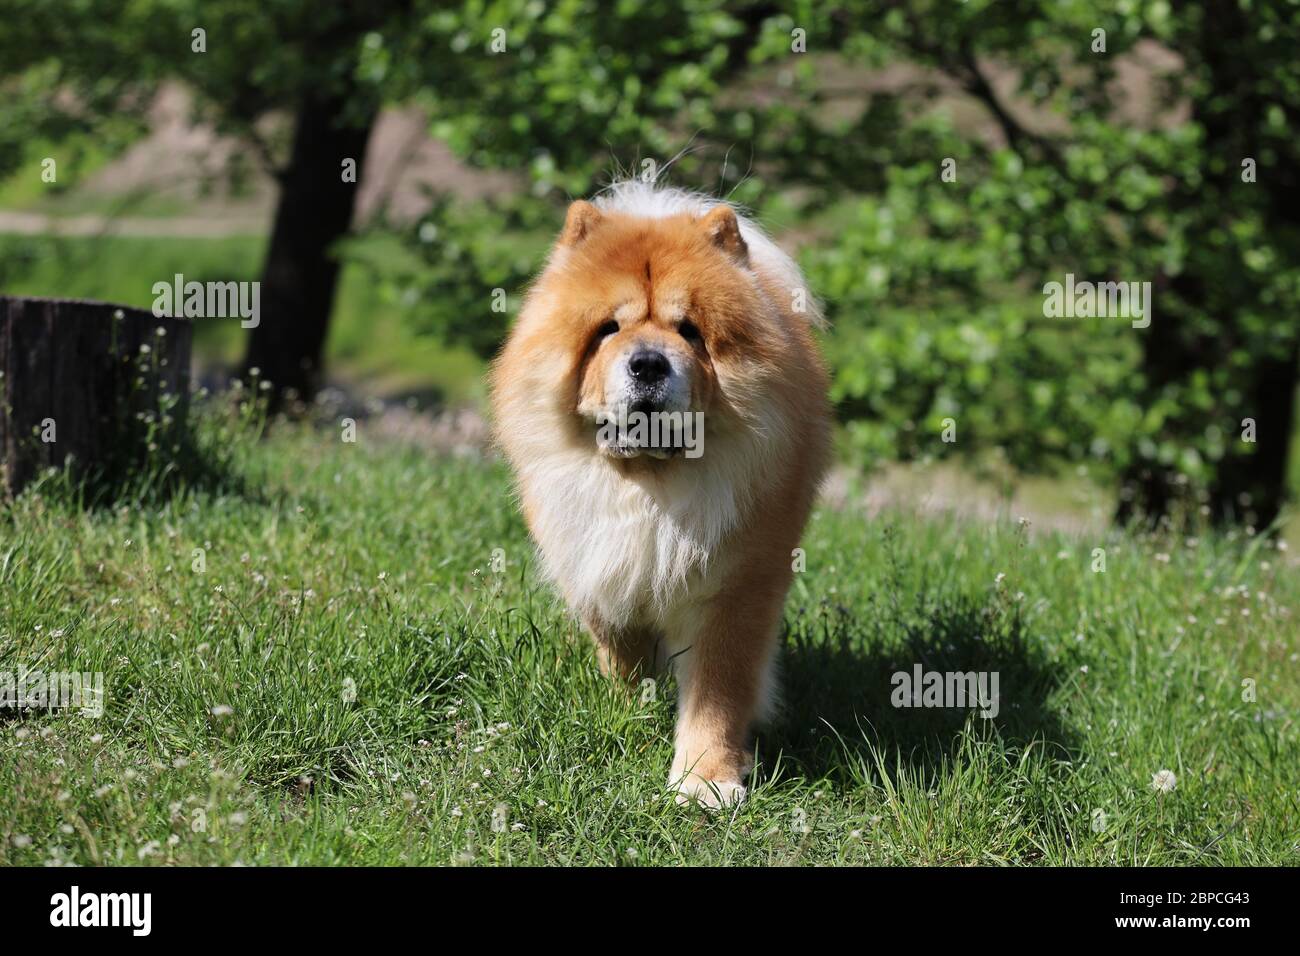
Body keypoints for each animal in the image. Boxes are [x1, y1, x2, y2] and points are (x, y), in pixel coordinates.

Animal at [491, 180, 826, 806]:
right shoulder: (594, 562)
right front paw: (629, 713)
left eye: (689, 330)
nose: (648, 363)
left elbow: (717, 691)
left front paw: (706, 781)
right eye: (609, 329)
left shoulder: (734, 586)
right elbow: (620, 649)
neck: (648, 486)